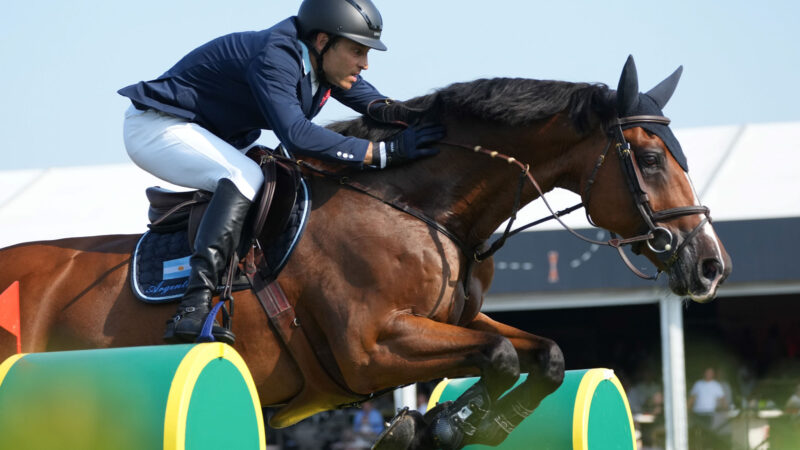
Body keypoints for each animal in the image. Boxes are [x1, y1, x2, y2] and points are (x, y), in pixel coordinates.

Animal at [0, 57, 732, 450]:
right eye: (648, 158)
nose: (710, 265)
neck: (422, 208)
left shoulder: (451, 321)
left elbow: (543, 355)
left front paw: (454, 423)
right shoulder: (370, 347)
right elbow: (497, 355)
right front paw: (430, 427)